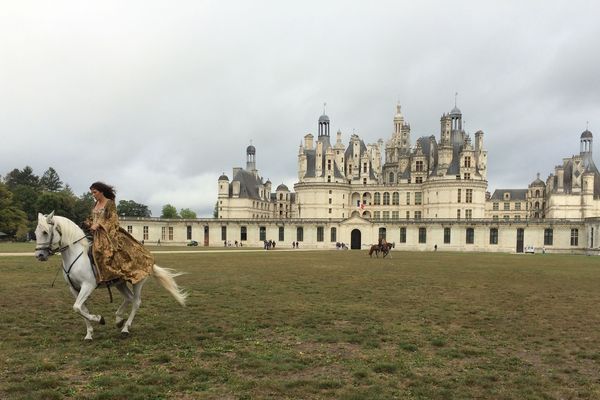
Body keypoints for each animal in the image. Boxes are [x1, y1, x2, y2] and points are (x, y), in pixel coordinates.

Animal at [34, 212, 188, 340]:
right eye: (36, 232)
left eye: (45, 232)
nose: (39, 255)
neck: (76, 255)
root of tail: (148, 257)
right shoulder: (74, 289)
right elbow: (81, 309)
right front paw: (89, 333)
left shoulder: (88, 286)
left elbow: (77, 307)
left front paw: (99, 319)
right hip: (120, 283)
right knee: (129, 298)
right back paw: (119, 320)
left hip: (137, 282)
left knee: (136, 302)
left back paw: (125, 328)